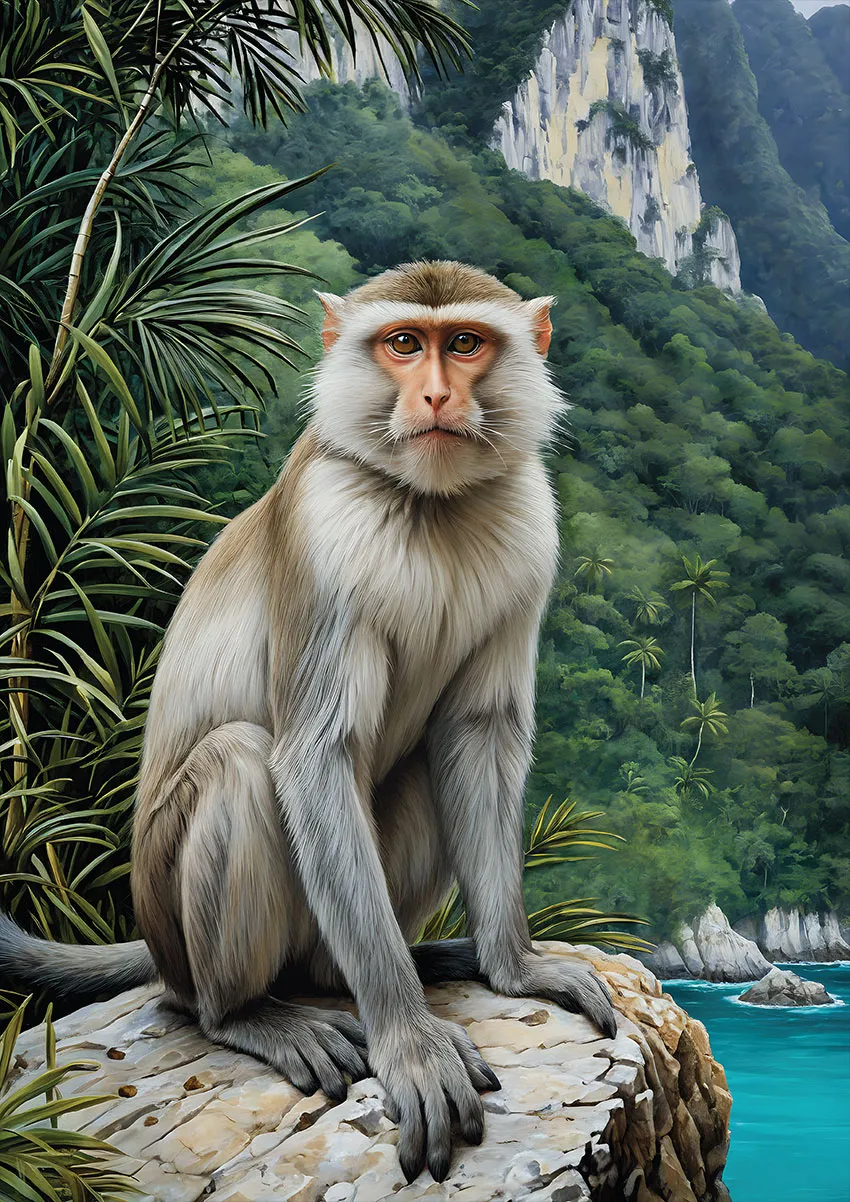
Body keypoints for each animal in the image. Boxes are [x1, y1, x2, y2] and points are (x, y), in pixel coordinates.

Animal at [0, 261, 617, 1184]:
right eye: (405, 343)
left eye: (466, 342)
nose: (437, 393)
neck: (429, 505)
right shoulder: (323, 538)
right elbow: (315, 755)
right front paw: (410, 1042)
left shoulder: (530, 535)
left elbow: (477, 736)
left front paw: (516, 968)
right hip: (182, 926)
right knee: (238, 761)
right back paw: (246, 1013)